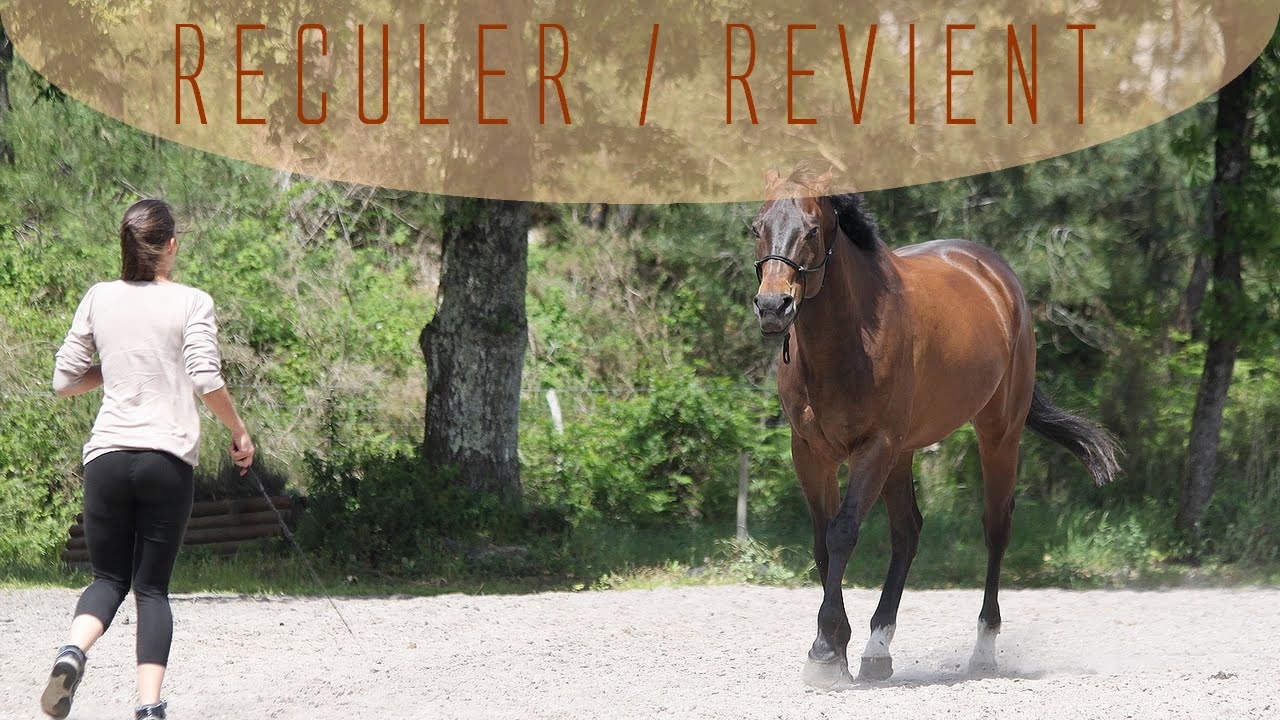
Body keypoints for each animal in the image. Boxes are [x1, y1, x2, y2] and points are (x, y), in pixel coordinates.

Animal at [749, 165, 1121, 687]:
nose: (772, 307)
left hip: (997, 434)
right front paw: (838, 648)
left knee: (996, 528)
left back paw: (983, 650)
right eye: (756, 227)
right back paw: (877, 650)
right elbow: (823, 542)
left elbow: (842, 532)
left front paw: (824, 652)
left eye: (813, 230)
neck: (848, 338)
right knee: (907, 533)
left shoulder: (874, 447)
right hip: (904, 454)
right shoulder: (810, 452)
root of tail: (996, 275)